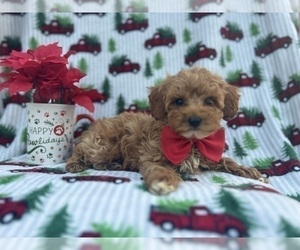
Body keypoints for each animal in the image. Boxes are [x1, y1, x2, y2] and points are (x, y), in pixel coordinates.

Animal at [66, 66, 264, 195]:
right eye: (178, 101)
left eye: (209, 101)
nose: (194, 120)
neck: (190, 141)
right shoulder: (153, 156)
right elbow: (159, 168)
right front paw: (162, 181)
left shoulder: (209, 154)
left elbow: (227, 161)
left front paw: (250, 172)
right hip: (104, 146)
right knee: (82, 150)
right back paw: (75, 163)